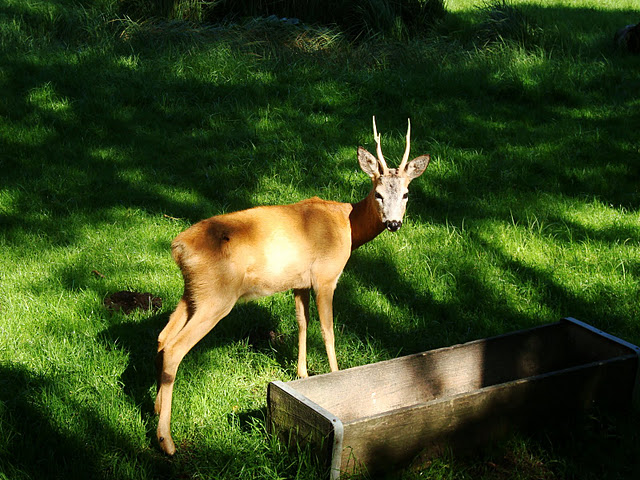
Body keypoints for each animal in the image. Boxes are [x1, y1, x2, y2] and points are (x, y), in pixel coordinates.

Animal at [155, 117, 431, 455]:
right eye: (378, 193)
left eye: (406, 194)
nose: (393, 223)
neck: (349, 225)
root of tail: (179, 247)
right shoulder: (326, 276)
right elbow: (327, 329)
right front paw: (335, 376)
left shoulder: (300, 283)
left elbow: (302, 323)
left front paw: (302, 375)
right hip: (216, 297)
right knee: (175, 348)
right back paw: (166, 441)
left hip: (194, 291)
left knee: (162, 337)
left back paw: (156, 409)